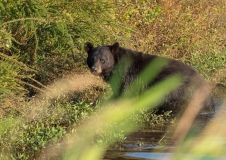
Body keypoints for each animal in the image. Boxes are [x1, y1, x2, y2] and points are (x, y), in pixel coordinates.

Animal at [84, 42, 215, 115]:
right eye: (91, 59)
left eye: (103, 60)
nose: (94, 69)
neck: (116, 67)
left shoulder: (130, 76)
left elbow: (126, 94)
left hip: (176, 89)